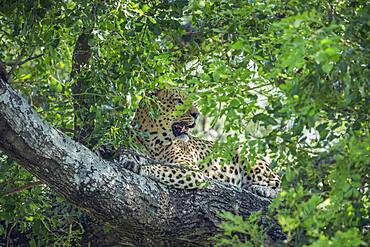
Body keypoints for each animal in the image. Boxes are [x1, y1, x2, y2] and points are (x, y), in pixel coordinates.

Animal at [124, 88, 280, 198]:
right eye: (178, 101)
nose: (196, 114)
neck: (153, 142)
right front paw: (129, 160)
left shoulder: (191, 170)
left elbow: (161, 168)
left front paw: (139, 166)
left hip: (246, 154)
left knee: (279, 186)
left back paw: (262, 189)